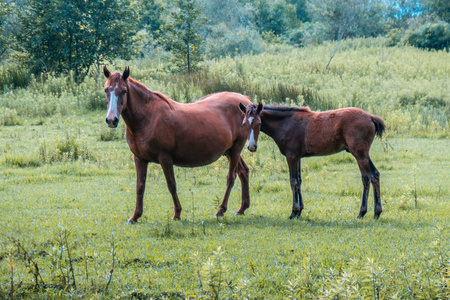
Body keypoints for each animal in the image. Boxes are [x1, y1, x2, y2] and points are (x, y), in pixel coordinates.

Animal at [103, 67, 255, 224]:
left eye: (124, 91)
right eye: (106, 90)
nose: (112, 120)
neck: (147, 117)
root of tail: (245, 101)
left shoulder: (165, 158)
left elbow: (171, 185)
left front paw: (177, 214)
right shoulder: (139, 159)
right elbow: (140, 186)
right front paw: (135, 216)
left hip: (236, 149)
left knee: (231, 177)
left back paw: (221, 211)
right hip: (230, 151)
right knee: (243, 171)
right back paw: (242, 208)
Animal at [239, 103, 386, 220]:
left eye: (259, 123)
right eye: (244, 124)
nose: (252, 146)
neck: (286, 123)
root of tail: (370, 117)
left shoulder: (291, 156)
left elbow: (293, 181)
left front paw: (294, 212)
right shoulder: (298, 157)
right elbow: (299, 181)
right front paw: (300, 211)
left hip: (360, 154)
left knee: (374, 175)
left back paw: (377, 212)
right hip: (358, 155)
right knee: (366, 179)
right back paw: (362, 212)